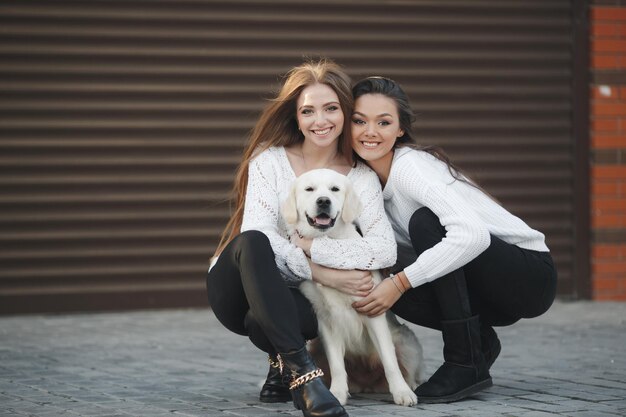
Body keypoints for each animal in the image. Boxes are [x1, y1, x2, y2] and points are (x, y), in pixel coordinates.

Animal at [282, 167, 424, 404]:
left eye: (334, 189)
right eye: (309, 189)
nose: (323, 201)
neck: (329, 240)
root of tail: (368, 385)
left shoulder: (372, 310)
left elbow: (389, 360)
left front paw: (402, 393)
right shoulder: (325, 318)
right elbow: (337, 366)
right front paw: (337, 393)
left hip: (407, 342)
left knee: (408, 369)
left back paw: (410, 386)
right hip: (316, 348)